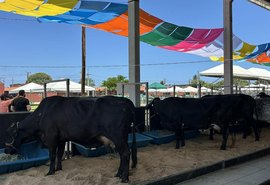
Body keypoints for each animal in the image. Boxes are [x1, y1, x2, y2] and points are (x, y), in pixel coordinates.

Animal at [4, 96, 137, 183]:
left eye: (11, 135)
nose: (6, 150)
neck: (41, 115)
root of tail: (125, 101)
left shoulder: (51, 138)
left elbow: (52, 155)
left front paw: (50, 172)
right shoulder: (61, 139)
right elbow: (59, 154)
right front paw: (58, 169)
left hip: (118, 137)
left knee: (125, 153)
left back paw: (124, 178)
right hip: (120, 138)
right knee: (123, 155)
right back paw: (118, 174)